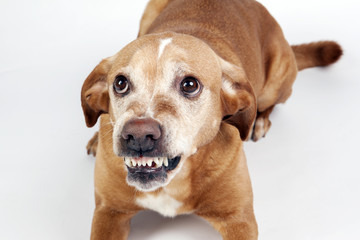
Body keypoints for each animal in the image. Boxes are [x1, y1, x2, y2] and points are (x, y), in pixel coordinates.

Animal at [80, 0, 342, 239]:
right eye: (120, 83)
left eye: (190, 85)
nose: (138, 135)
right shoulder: (108, 212)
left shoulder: (239, 218)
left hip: (277, 81)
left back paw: (259, 120)